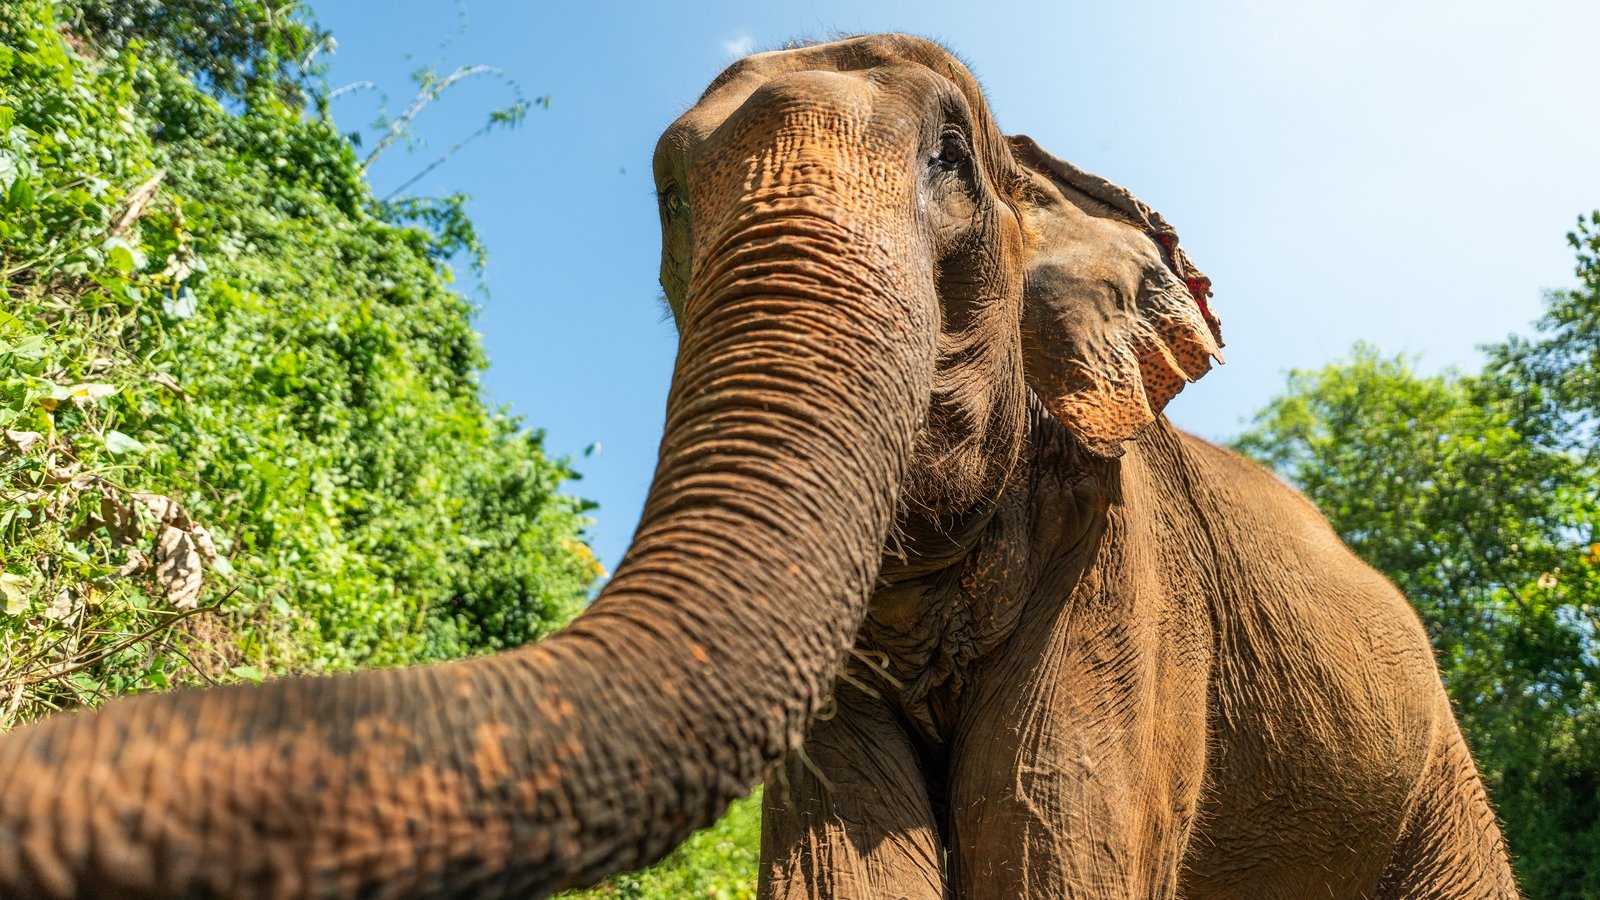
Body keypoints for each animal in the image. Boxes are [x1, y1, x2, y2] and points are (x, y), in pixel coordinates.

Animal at [0, 32, 1516, 900]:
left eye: (952, 158)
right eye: (669, 193)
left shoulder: (1121, 565)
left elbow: (1047, 841)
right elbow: (852, 862)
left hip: (1437, 767)